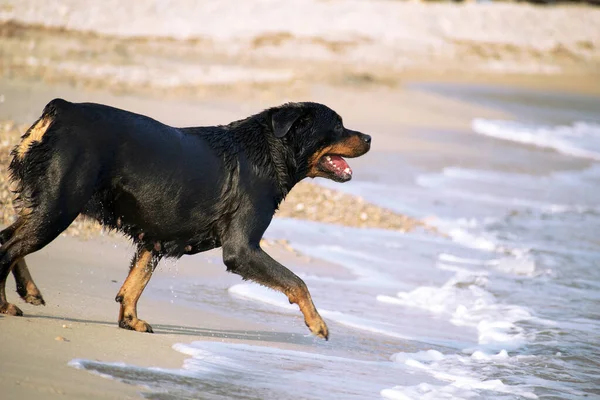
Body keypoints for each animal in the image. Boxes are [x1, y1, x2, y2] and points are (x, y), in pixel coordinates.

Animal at [0, 98, 372, 340]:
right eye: (337, 126)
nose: (369, 137)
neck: (270, 152)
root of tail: (61, 109)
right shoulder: (243, 249)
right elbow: (297, 281)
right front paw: (317, 323)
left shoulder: (155, 236)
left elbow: (134, 283)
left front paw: (130, 321)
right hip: (59, 207)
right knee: (8, 249)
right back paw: (5, 305)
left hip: (46, 205)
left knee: (9, 237)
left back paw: (28, 288)